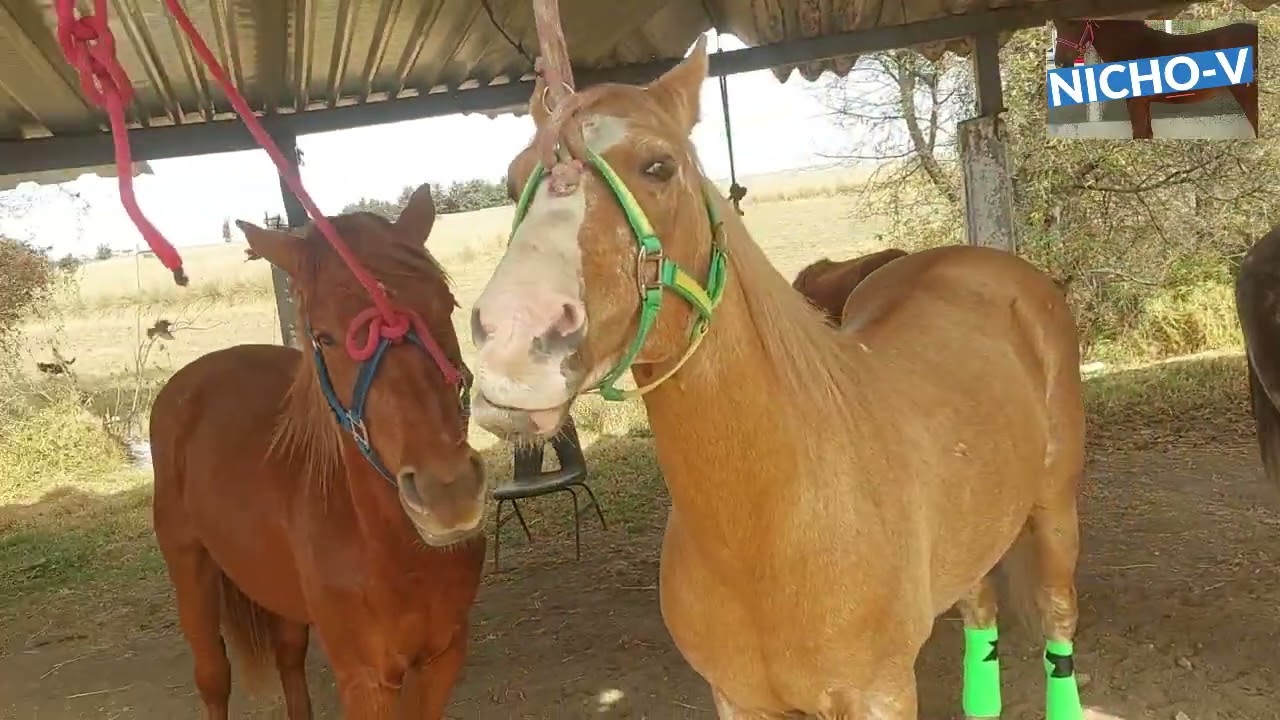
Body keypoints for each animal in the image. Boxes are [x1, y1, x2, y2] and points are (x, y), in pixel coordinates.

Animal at [149, 185, 488, 719]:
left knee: (289, 659)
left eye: (447, 303)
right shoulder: (367, 681)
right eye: (325, 337)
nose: (448, 492)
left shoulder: (442, 659)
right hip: (191, 571)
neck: (392, 549)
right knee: (213, 677)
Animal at [468, 38, 1087, 719]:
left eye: (659, 167)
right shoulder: (738, 699)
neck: (768, 531)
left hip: (1055, 509)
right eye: (514, 179)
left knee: (1058, 616)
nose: (514, 345)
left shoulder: (882, 693)